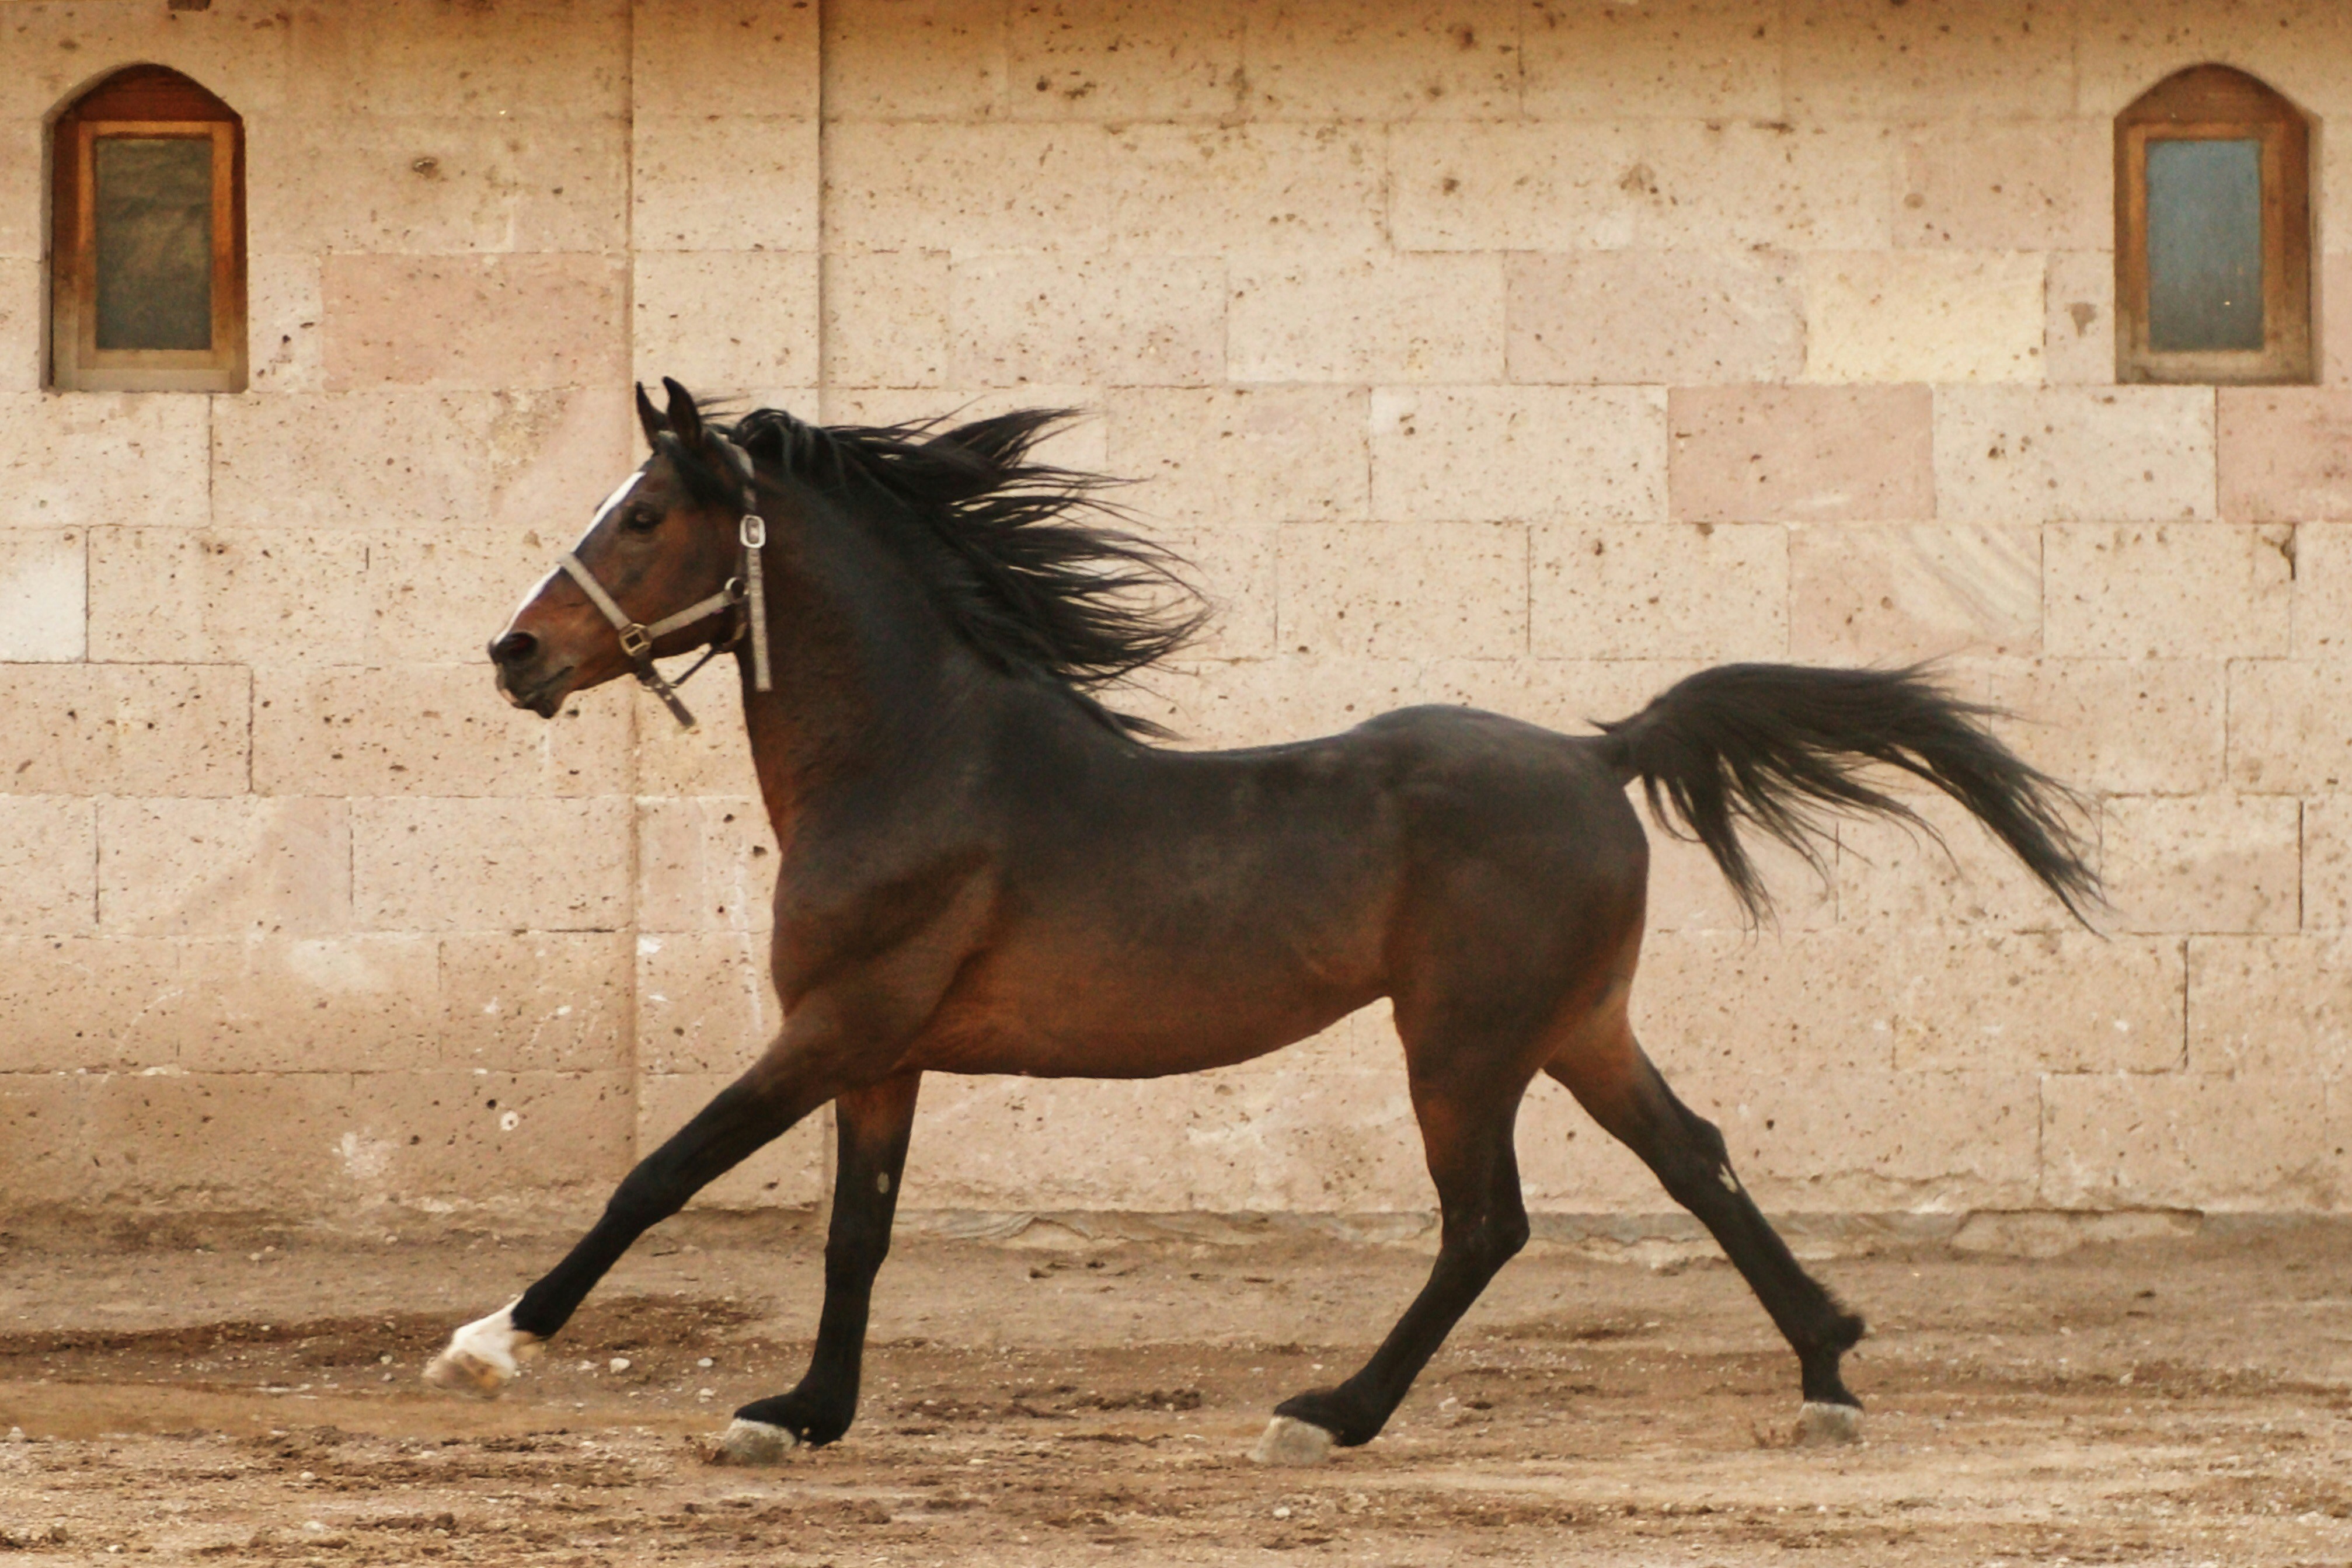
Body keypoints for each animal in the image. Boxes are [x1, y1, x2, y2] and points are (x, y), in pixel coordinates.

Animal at [427, 378, 2100, 1467]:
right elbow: (857, 1232)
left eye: (645, 513)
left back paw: (1327, 1414)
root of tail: (1596, 753)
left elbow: (658, 1172)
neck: (916, 758)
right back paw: (1825, 1367)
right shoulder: (881, 1054)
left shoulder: (834, 1024)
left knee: (1487, 1223)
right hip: (1576, 1027)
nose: (514, 654)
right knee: (1695, 1159)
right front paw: (801, 1411)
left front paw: (495, 1340)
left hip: (1463, 1042)